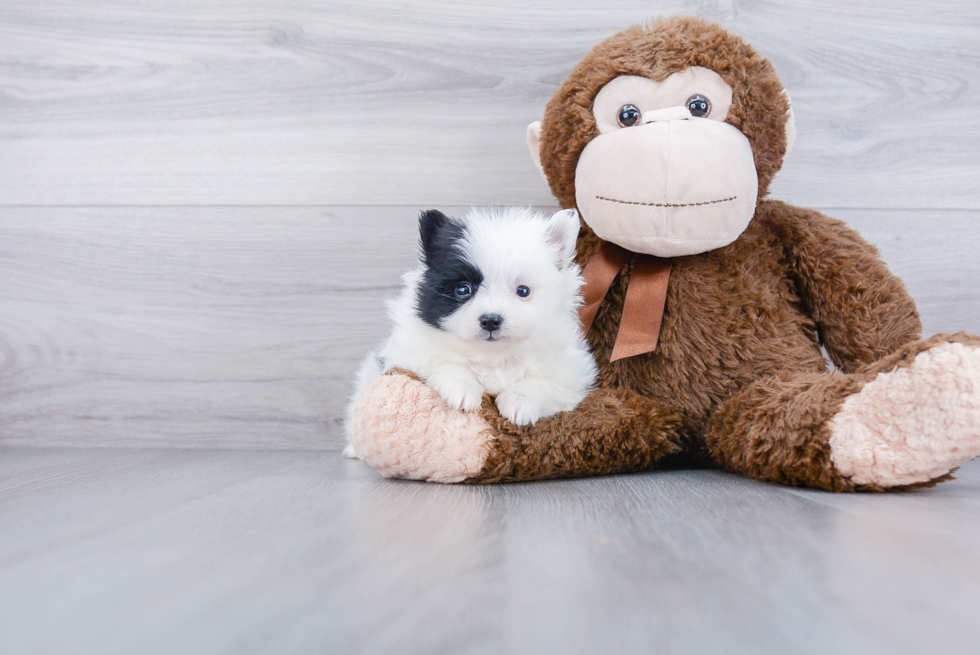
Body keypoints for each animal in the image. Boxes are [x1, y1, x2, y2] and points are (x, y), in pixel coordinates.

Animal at [344, 206, 596, 456]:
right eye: (463, 290)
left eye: (523, 291)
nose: (491, 320)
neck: (492, 356)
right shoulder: (411, 351)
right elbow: (445, 363)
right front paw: (463, 391)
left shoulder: (569, 371)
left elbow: (543, 382)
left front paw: (519, 403)